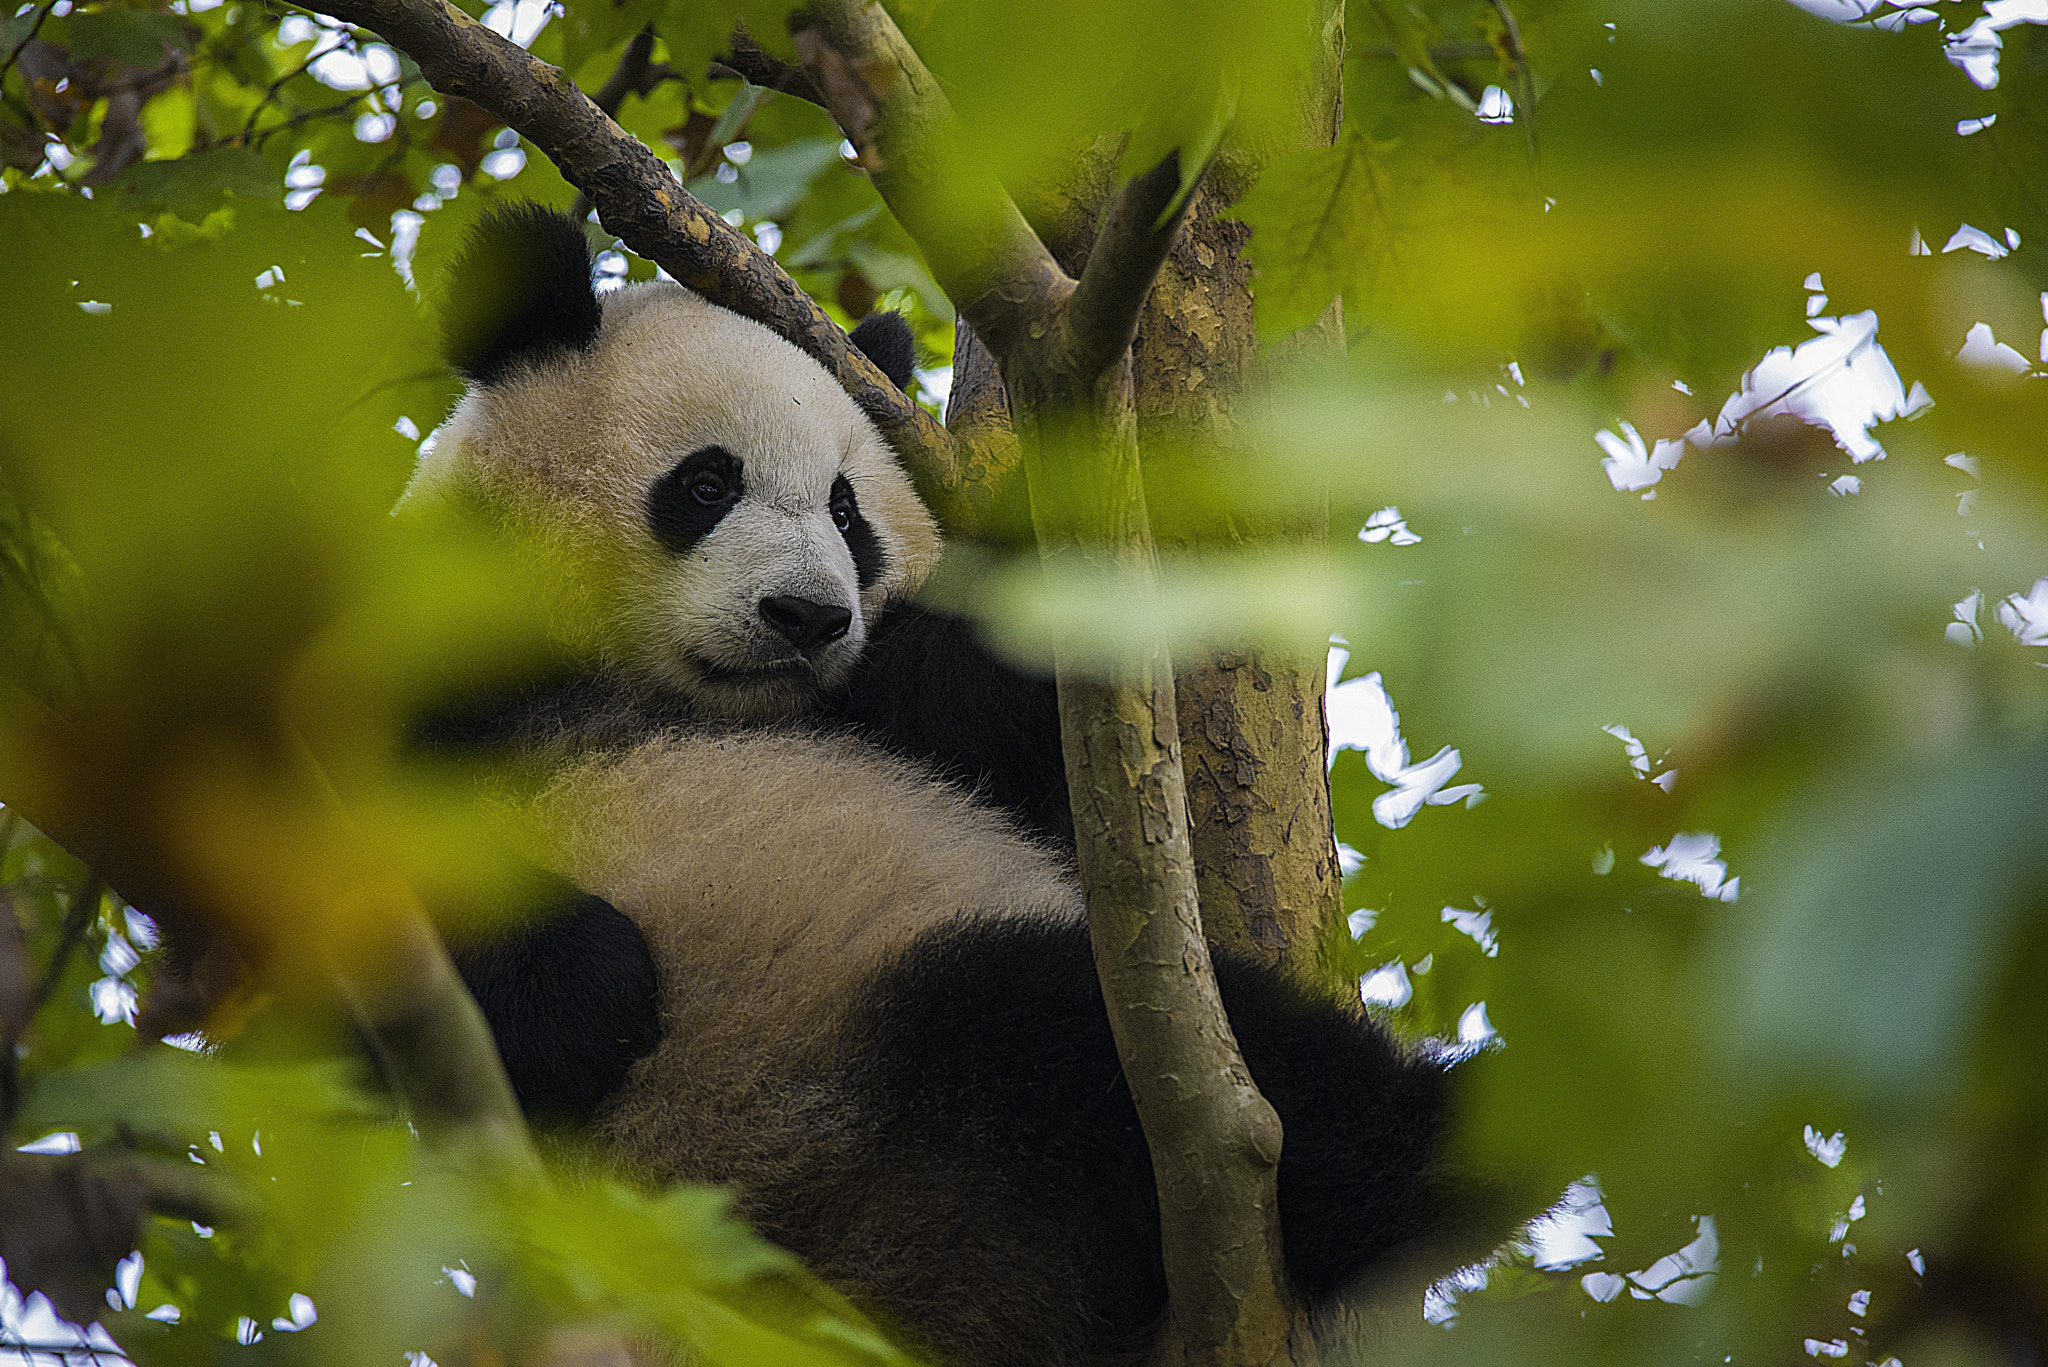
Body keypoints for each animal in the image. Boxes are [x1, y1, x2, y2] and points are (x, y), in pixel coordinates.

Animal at [405, 204, 1478, 1367]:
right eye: (705, 483)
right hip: (829, 1070)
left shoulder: (878, 704)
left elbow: (971, 685)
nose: (808, 616)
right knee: (1073, 1030)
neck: (651, 683)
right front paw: (584, 984)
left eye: (847, 511)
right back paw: (1452, 1133)